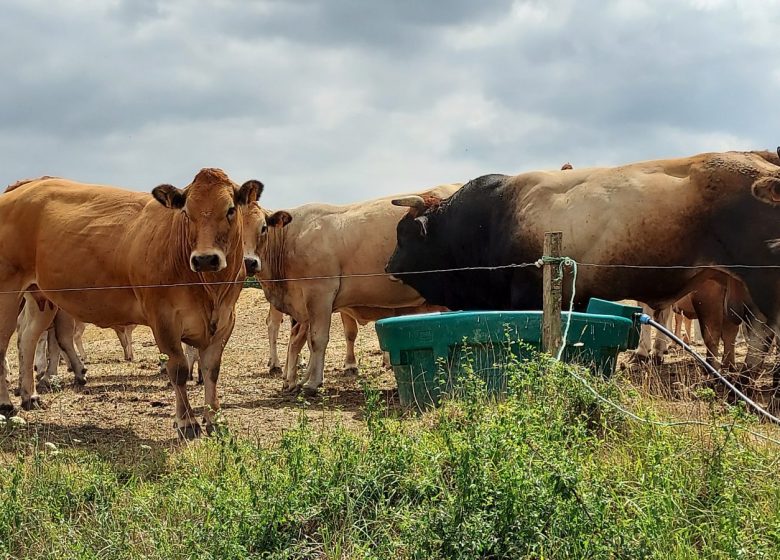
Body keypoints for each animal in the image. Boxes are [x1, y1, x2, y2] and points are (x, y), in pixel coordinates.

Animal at [0, 171, 268, 438]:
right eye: (186, 212)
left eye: (230, 209)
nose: (204, 259)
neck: (210, 291)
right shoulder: (163, 319)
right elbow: (178, 369)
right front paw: (186, 422)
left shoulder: (225, 320)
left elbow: (212, 369)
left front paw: (214, 418)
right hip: (7, 292)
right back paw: (6, 404)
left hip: (40, 297)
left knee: (27, 337)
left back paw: (30, 396)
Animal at [244, 183, 460, 394]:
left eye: (263, 228)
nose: (250, 262)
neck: (290, 237)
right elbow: (304, 340)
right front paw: (298, 381)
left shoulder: (319, 294)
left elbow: (317, 339)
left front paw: (313, 382)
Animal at [388, 149, 780, 410]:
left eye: (404, 235)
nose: (390, 265)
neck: (489, 218)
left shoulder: (528, 294)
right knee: (757, 334)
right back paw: (741, 382)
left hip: (761, 282)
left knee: (762, 333)